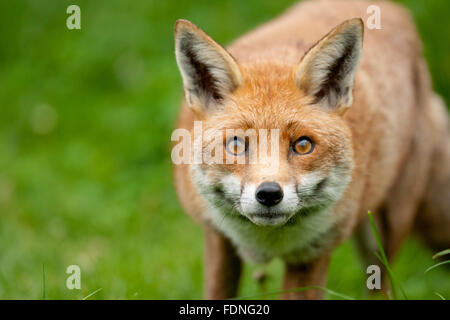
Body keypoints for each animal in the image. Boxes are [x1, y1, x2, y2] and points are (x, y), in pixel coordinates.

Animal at [171, 0, 446, 300]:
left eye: (303, 145)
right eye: (236, 144)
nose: (269, 194)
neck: (265, 241)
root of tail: (398, 10)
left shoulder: (313, 254)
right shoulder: (217, 237)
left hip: (385, 230)